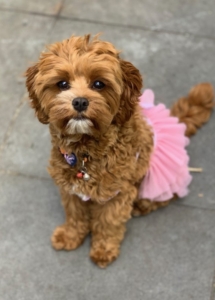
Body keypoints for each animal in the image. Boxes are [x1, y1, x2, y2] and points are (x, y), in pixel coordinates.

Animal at [25, 34, 213, 268]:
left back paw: (141, 206)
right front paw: (70, 235)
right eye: (62, 84)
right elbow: (75, 213)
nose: (80, 101)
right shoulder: (70, 188)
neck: (85, 151)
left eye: (98, 84)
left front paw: (104, 249)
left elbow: (108, 222)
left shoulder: (118, 193)